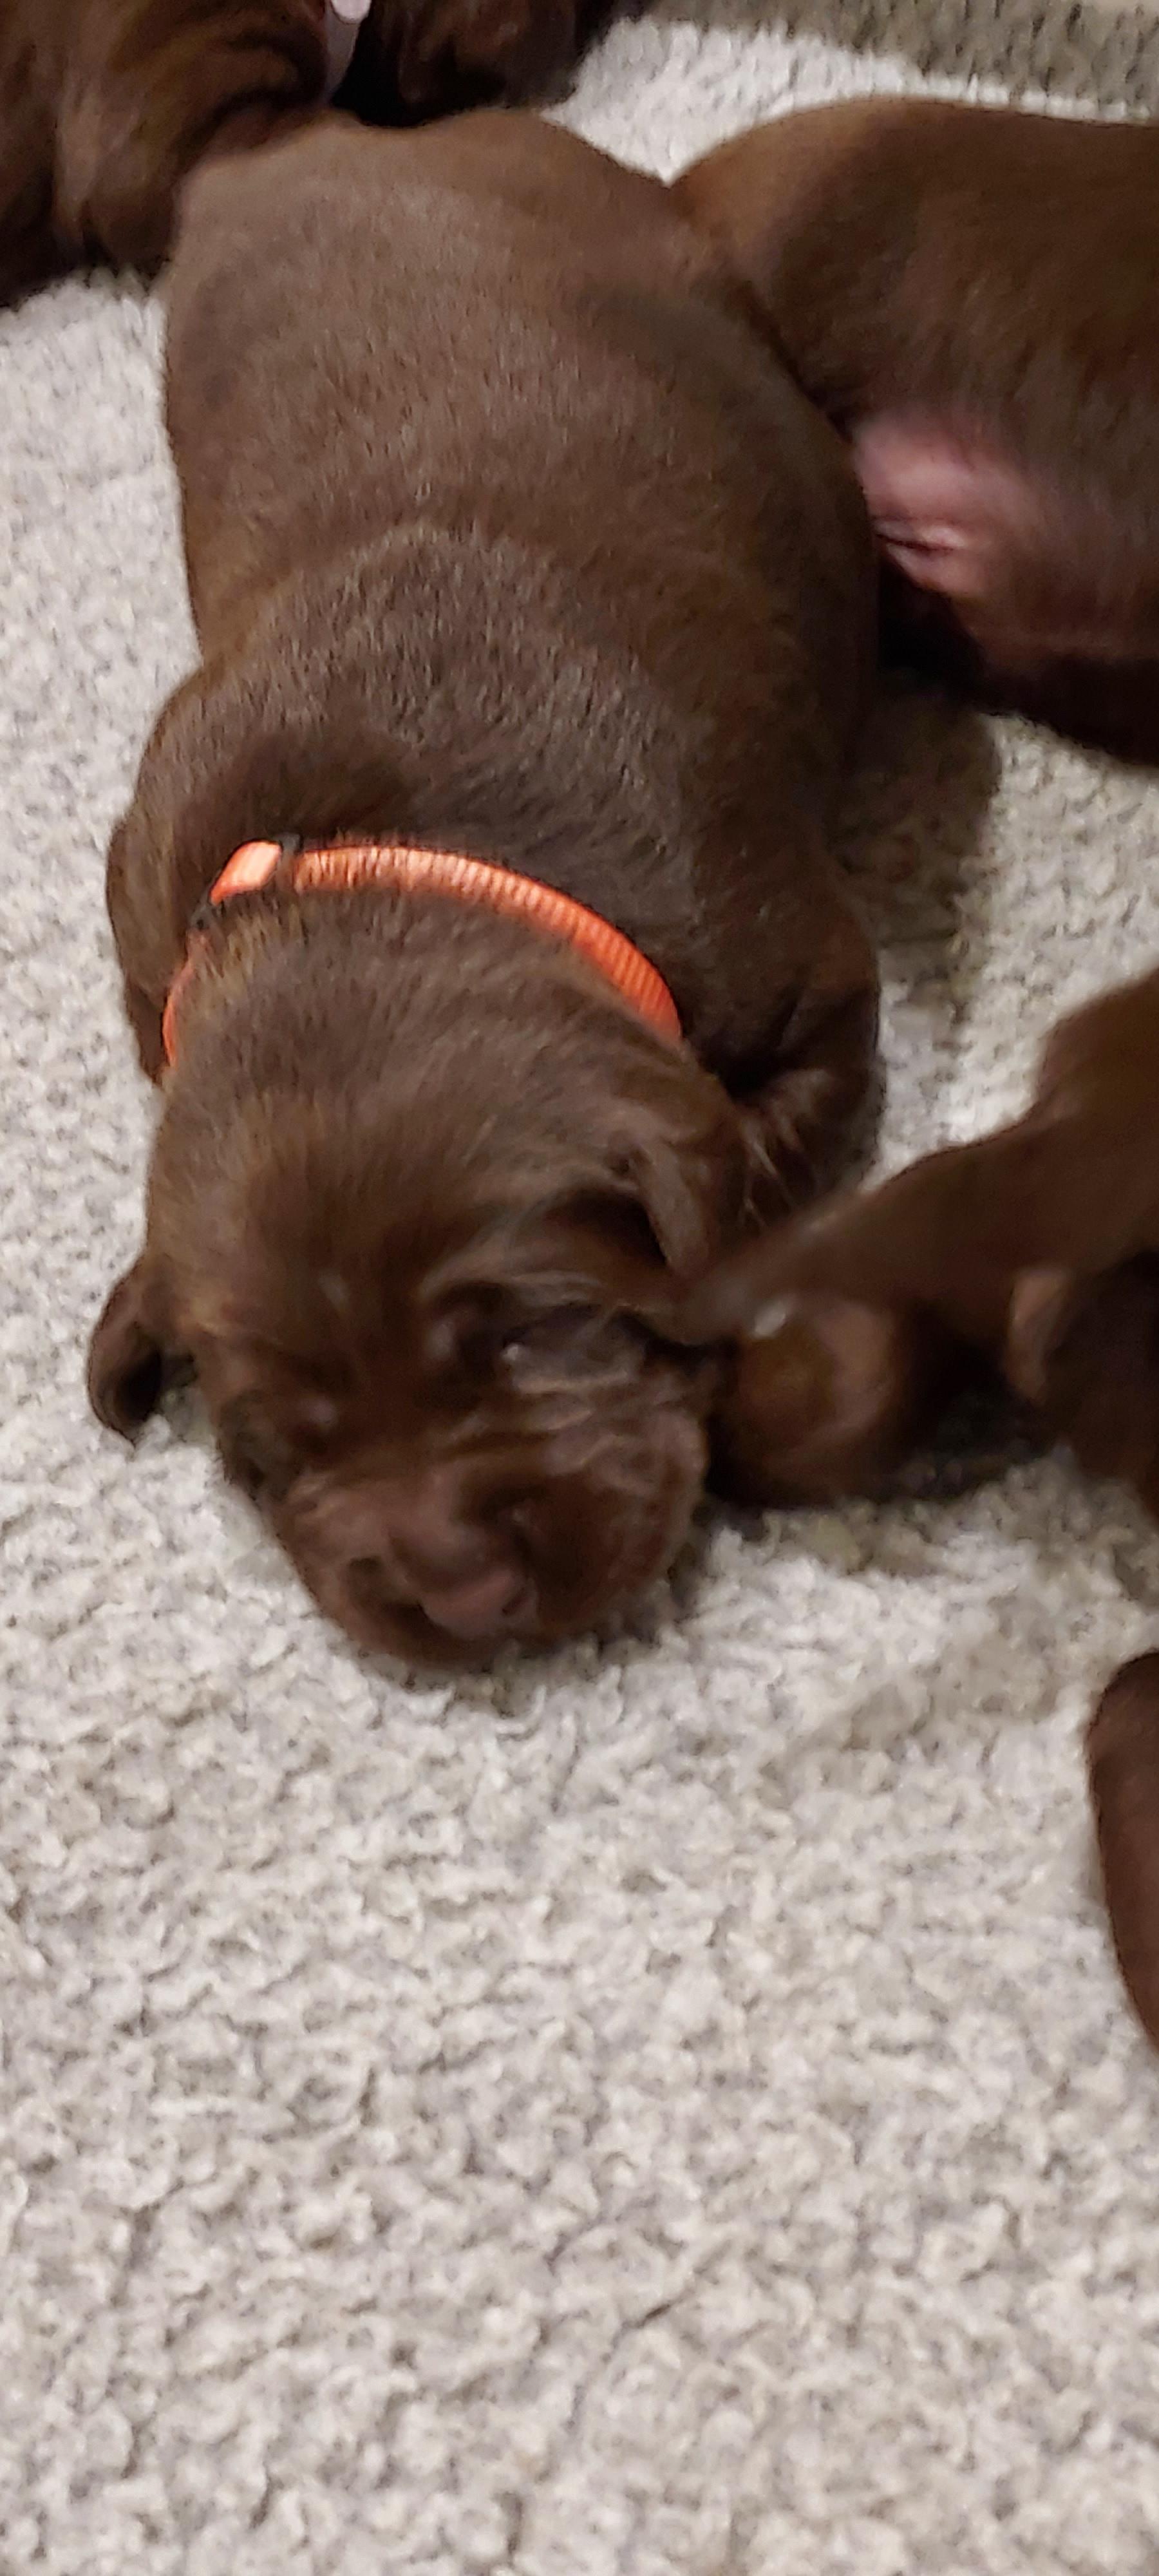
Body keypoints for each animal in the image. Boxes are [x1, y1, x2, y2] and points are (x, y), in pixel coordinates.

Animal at [86, 111, 879, 1665]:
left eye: (526, 1332)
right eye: (274, 1443)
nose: (460, 1595)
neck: (377, 854)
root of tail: (320, 137)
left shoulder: (808, 969)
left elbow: (762, 1155)